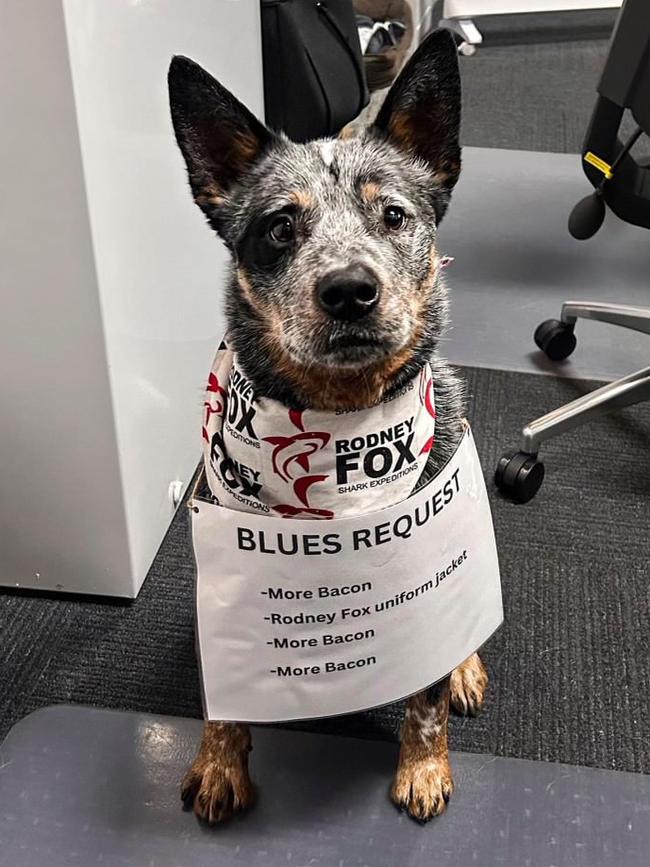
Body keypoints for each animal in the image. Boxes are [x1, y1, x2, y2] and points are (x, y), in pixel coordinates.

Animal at [167, 28, 486, 828]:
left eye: (394, 216)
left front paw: (423, 768)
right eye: (280, 227)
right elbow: (225, 692)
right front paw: (219, 762)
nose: (348, 290)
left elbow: (426, 698)